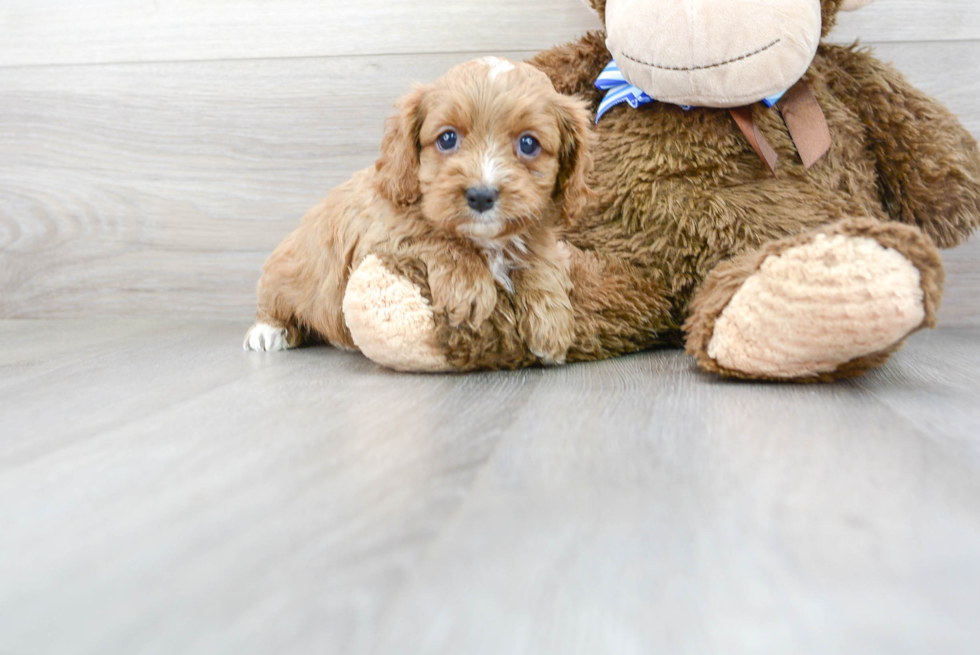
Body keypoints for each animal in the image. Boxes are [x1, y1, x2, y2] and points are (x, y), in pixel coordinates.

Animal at [243, 56, 596, 364]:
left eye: (528, 144)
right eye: (448, 138)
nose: (481, 196)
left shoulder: (539, 234)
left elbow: (542, 260)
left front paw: (552, 324)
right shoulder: (383, 233)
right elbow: (437, 238)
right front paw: (469, 289)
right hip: (282, 275)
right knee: (272, 304)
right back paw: (268, 331)